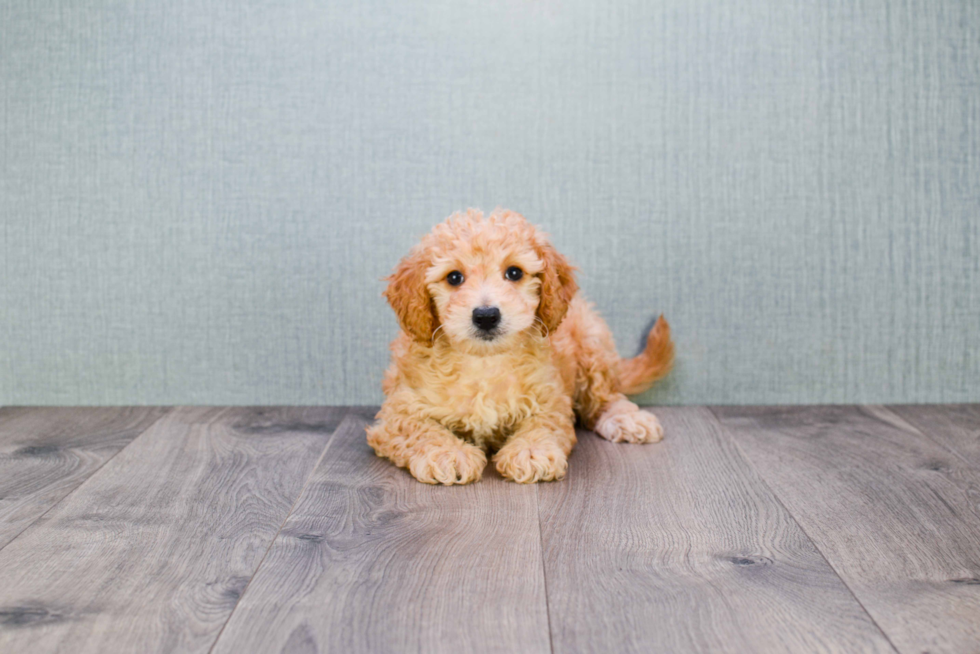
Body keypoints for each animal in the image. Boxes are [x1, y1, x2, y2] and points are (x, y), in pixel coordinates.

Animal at [368, 210, 672, 486]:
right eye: (454, 278)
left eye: (514, 272)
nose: (486, 315)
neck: (484, 363)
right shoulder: (398, 409)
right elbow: (419, 428)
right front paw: (448, 453)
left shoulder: (551, 398)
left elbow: (542, 424)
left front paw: (531, 451)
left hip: (592, 341)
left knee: (605, 396)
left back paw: (626, 419)